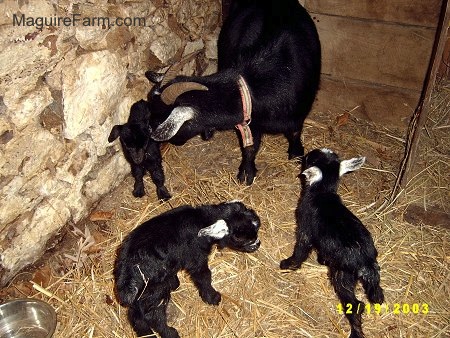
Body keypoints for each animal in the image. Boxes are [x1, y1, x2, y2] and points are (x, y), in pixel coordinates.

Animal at [146, 0, 318, 185]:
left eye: (159, 120)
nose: (175, 143)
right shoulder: (251, 121)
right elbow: (250, 147)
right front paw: (246, 174)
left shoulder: (297, 114)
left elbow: (294, 133)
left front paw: (296, 154)